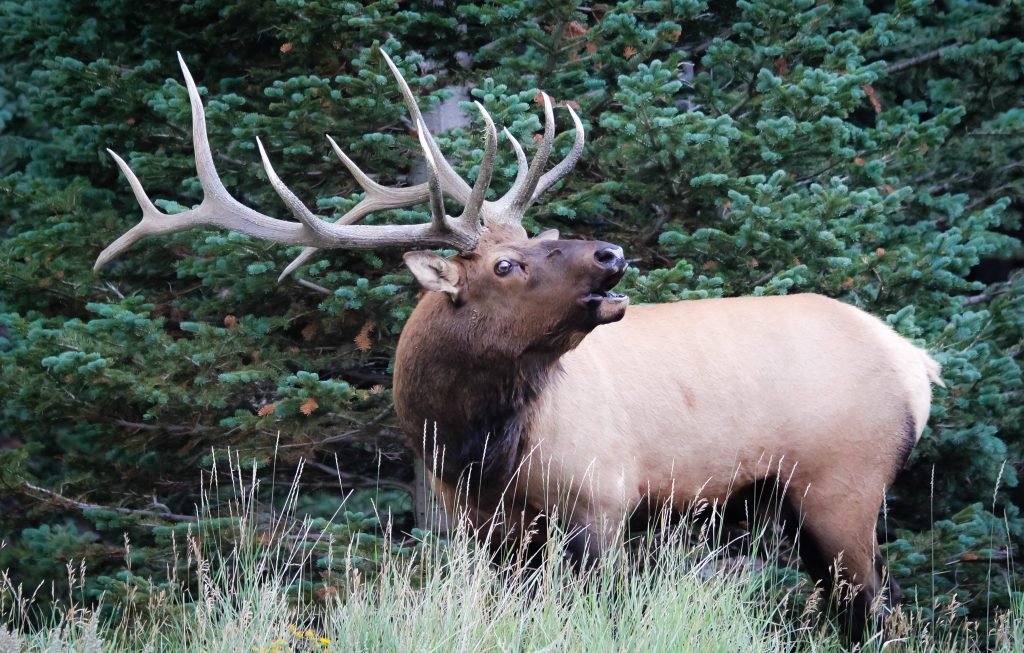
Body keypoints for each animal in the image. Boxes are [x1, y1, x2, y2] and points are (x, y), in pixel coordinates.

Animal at [96, 51, 943, 640]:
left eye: (536, 234)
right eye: (508, 262)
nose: (611, 253)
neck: (476, 440)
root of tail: (918, 363)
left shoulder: (604, 497)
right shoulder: (481, 525)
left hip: (845, 481)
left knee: (874, 610)